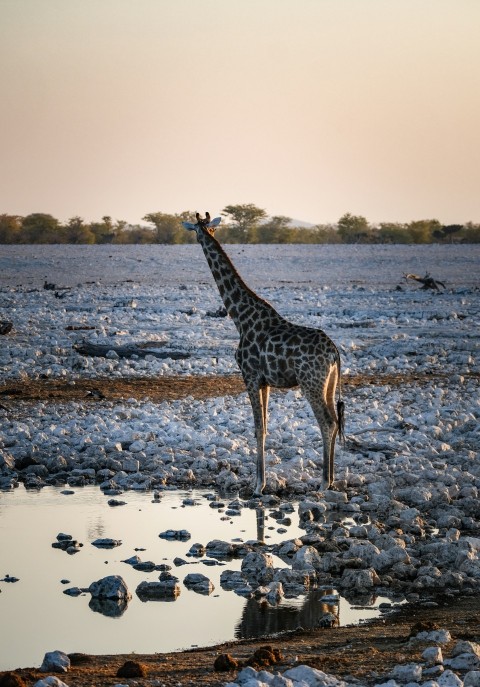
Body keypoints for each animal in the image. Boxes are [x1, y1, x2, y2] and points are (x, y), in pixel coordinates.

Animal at [184, 211, 344, 494]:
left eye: (200, 231)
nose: (203, 237)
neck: (240, 317)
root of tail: (334, 352)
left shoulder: (249, 374)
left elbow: (258, 428)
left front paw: (258, 485)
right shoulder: (265, 381)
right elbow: (266, 427)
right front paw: (259, 480)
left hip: (311, 383)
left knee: (327, 422)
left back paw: (324, 482)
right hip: (328, 383)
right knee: (335, 420)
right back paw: (332, 478)